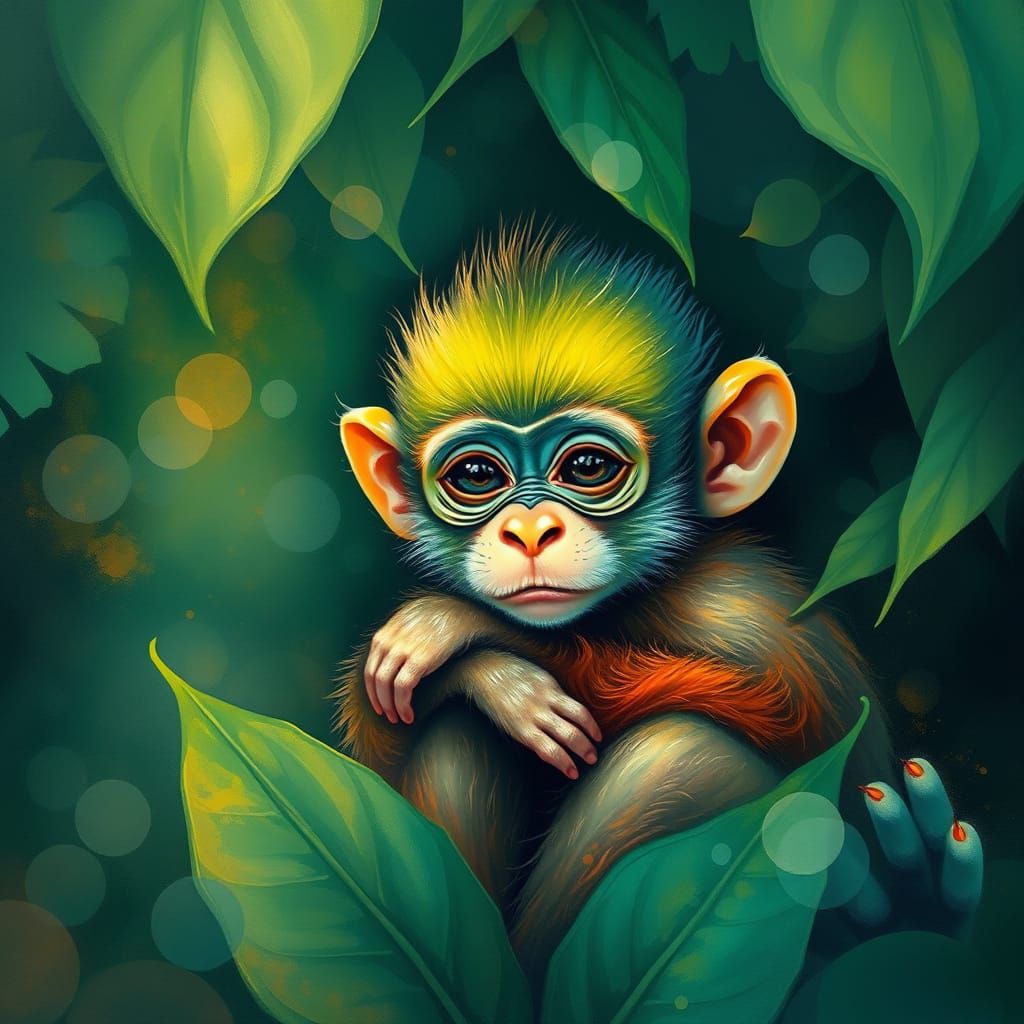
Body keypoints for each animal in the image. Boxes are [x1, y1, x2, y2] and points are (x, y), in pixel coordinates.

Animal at [331, 223, 895, 985]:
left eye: (588, 467)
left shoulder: (744, 612)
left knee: (684, 749)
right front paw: (500, 680)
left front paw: (454, 630)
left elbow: (788, 711)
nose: (529, 532)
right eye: (477, 474)